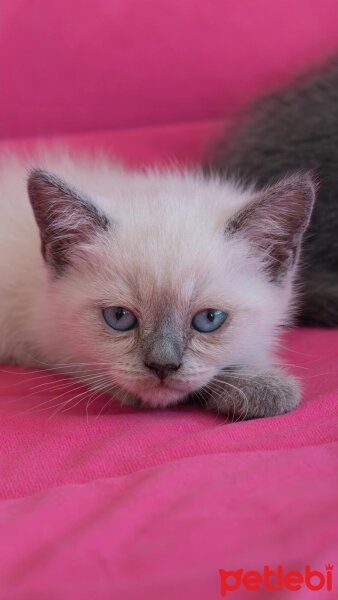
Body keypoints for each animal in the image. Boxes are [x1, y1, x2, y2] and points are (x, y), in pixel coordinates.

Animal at [0, 152, 314, 420]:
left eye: (209, 319)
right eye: (119, 317)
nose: (162, 366)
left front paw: (259, 380)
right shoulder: (43, 335)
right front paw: (261, 385)